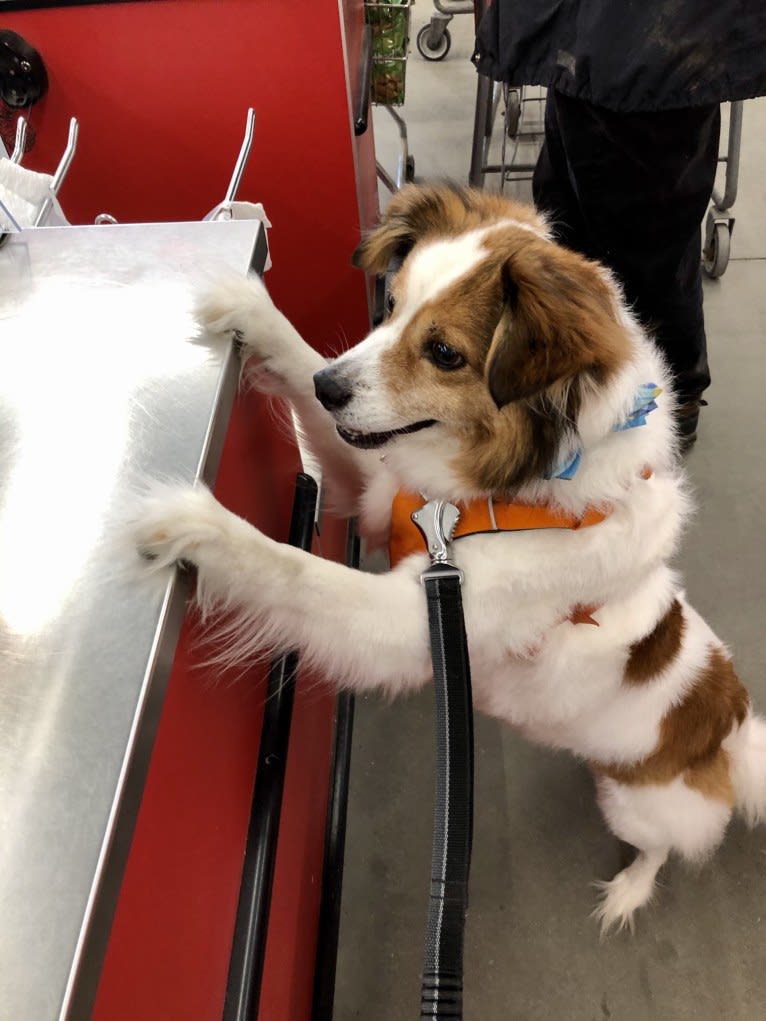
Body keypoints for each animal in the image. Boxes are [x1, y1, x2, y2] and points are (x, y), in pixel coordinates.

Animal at [131, 183, 766, 935]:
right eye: (391, 305)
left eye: (443, 352)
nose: (327, 387)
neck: (502, 490)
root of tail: (732, 726)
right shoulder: (381, 495)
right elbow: (304, 362)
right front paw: (253, 311)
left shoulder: (409, 621)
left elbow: (296, 570)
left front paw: (194, 522)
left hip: (639, 806)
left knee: (667, 846)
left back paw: (629, 891)